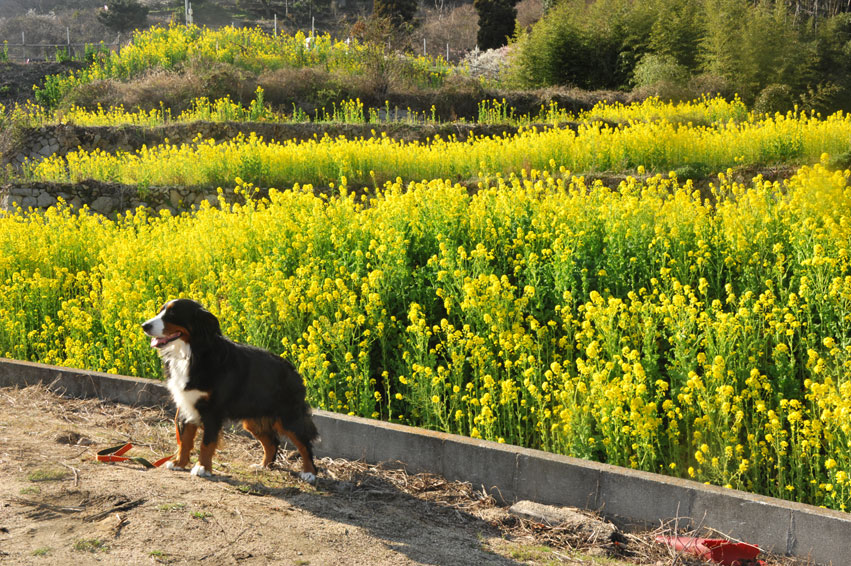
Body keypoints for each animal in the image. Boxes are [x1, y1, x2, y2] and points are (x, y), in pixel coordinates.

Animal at [141, 302, 318, 484]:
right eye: (160, 311)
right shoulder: (186, 405)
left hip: (289, 418)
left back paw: (309, 472)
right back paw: (263, 466)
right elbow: (185, 440)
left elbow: (207, 443)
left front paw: (202, 468)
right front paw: (179, 462)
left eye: (173, 314)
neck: (192, 353)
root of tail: (293, 370)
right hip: (254, 420)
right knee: (272, 443)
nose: (144, 326)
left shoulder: (212, 411)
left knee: (304, 444)